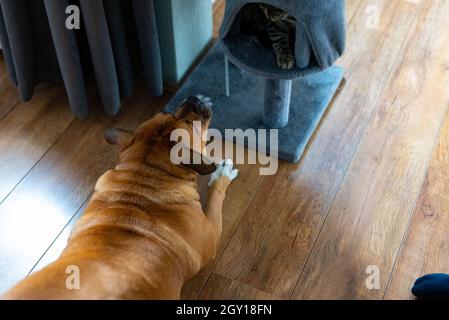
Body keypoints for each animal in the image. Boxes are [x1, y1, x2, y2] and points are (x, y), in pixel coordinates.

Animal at [1, 97, 238, 300]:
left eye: (167, 112)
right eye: (190, 123)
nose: (192, 98)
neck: (144, 175)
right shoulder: (211, 234)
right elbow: (216, 195)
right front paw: (222, 174)